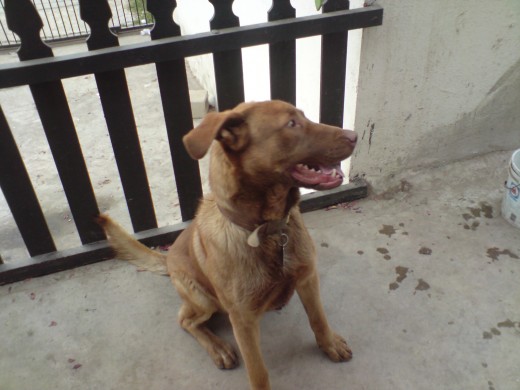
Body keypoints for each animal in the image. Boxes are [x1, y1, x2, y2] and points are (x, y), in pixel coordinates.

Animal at [96, 99, 358, 388]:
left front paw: (329, 344)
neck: (269, 231)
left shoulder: (308, 278)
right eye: (291, 124)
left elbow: (318, 318)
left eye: (303, 116)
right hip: (202, 299)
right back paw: (218, 347)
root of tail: (168, 258)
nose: (355, 136)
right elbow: (258, 372)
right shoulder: (242, 320)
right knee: (185, 320)